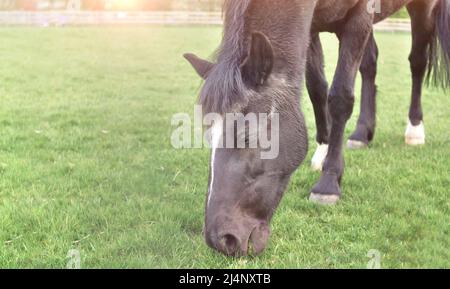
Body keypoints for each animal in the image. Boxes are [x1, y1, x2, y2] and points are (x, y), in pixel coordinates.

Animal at [184, 0, 450, 256]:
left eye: (247, 135)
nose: (220, 239)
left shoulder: (359, 16)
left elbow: (340, 97)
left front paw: (329, 181)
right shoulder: (310, 29)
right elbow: (317, 89)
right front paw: (323, 151)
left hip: (422, 9)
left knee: (417, 62)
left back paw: (414, 129)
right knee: (370, 64)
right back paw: (362, 133)